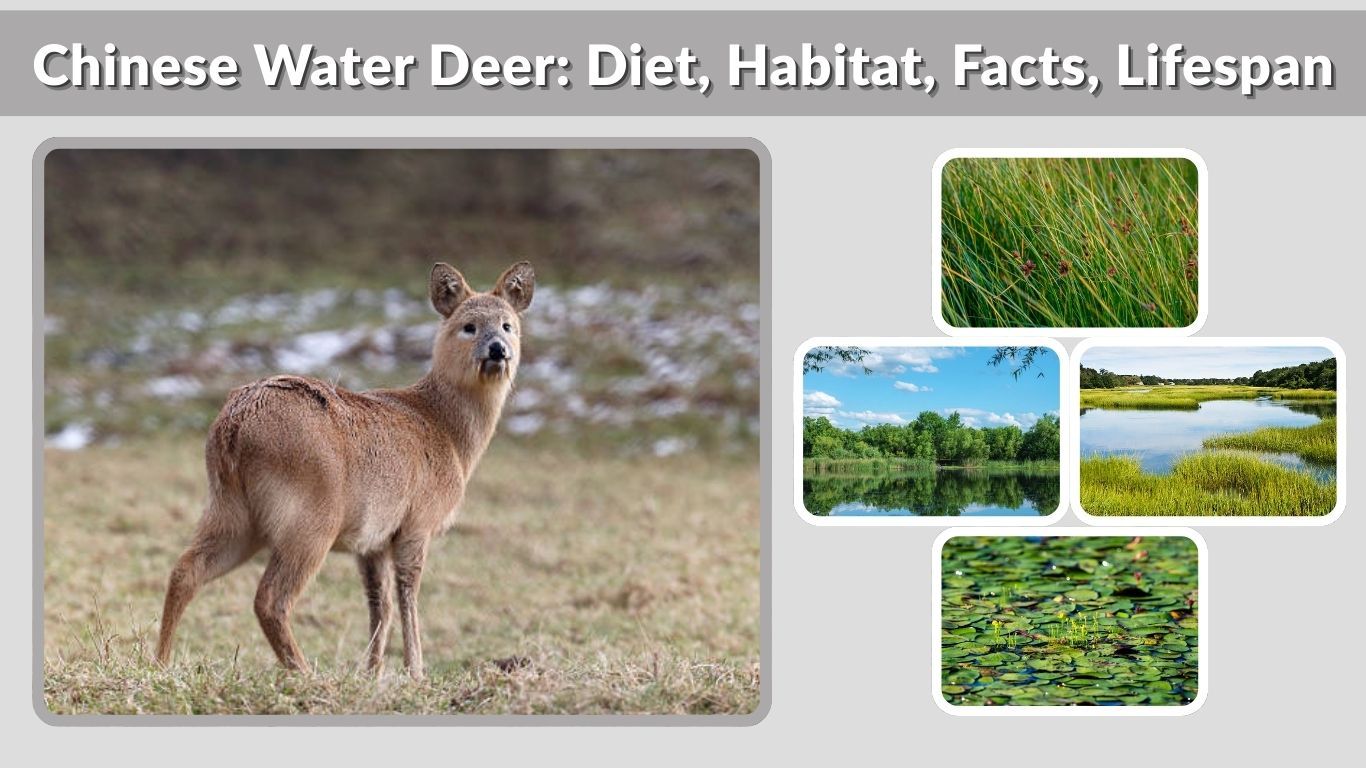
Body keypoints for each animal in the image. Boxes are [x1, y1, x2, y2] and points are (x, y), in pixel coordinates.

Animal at [155, 261, 534, 680]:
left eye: (508, 325)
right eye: (468, 326)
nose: (498, 349)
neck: (447, 432)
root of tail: (233, 425)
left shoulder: (371, 540)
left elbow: (379, 602)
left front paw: (372, 673)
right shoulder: (417, 522)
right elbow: (407, 595)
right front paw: (415, 672)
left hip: (231, 511)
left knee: (185, 570)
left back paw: (160, 663)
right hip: (309, 518)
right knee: (269, 598)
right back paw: (304, 672)